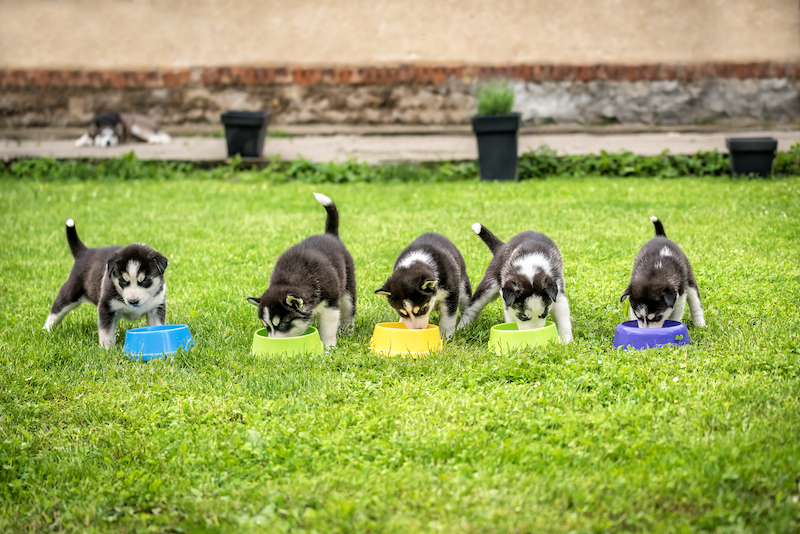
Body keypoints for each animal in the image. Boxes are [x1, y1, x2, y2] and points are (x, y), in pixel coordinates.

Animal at [43, 220, 169, 350]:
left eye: (144, 281)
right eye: (123, 281)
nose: (133, 301)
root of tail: (84, 252)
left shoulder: (156, 307)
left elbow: (158, 327)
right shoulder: (106, 307)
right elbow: (106, 332)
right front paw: (107, 349)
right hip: (71, 293)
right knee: (57, 310)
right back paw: (47, 329)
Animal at [245, 195, 354, 350]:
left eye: (283, 324)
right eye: (266, 327)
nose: (273, 343)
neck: (291, 278)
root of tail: (329, 235)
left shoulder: (330, 304)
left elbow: (328, 328)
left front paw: (328, 346)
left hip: (348, 288)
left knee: (348, 309)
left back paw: (347, 329)